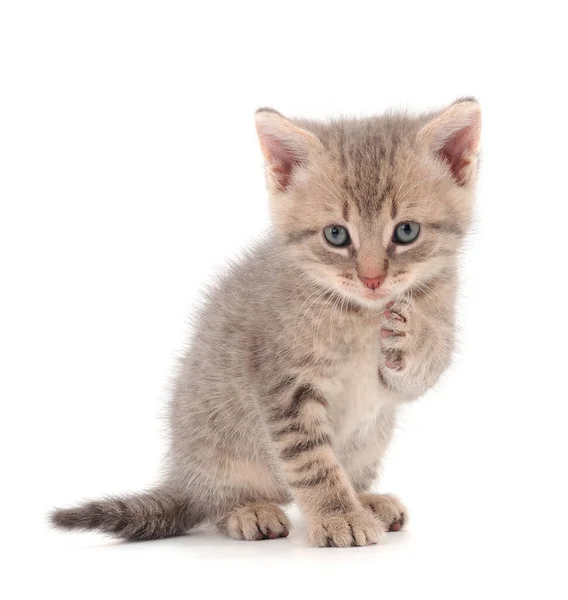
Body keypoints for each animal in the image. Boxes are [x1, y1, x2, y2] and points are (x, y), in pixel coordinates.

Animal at [51, 99, 482, 548]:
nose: (372, 279)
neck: (357, 314)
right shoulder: (284, 385)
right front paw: (338, 516)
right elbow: (312, 463)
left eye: (406, 231)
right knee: (216, 502)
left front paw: (414, 334)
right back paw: (249, 510)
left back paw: (368, 499)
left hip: (372, 438)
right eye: (336, 235)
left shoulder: (399, 376)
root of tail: (183, 476)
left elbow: (418, 373)